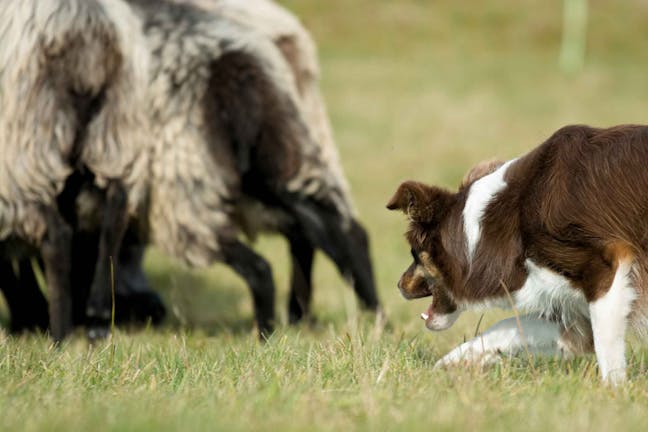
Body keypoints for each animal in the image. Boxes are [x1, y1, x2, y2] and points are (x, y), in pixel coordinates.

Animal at [388, 125, 648, 384]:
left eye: (414, 254)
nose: (399, 284)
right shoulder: (577, 314)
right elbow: (507, 328)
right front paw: (453, 363)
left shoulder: (606, 268)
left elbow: (607, 349)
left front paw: (613, 389)